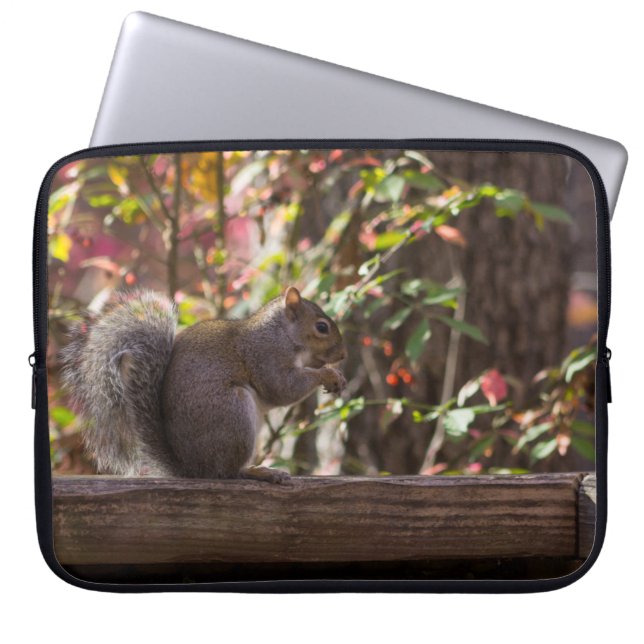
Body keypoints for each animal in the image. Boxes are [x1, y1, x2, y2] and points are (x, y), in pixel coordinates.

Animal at [61, 286, 347, 482]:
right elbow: (283, 388)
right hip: (234, 414)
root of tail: (192, 468)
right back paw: (259, 472)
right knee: (227, 472)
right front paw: (328, 375)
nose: (343, 356)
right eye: (322, 327)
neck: (282, 333)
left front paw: (336, 375)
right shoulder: (266, 356)